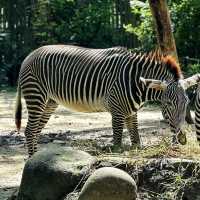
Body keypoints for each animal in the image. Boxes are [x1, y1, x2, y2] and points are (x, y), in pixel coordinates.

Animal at [14, 45, 199, 156]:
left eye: (186, 104)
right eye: (167, 104)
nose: (181, 138)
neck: (136, 82)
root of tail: (30, 55)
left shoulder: (131, 113)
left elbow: (136, 140)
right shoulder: (117, 112)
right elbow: (117, 143)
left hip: (49, 102)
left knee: (36, 131)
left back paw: (36, 158)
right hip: (36, 96)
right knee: (29, 131)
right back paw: (31, 160)